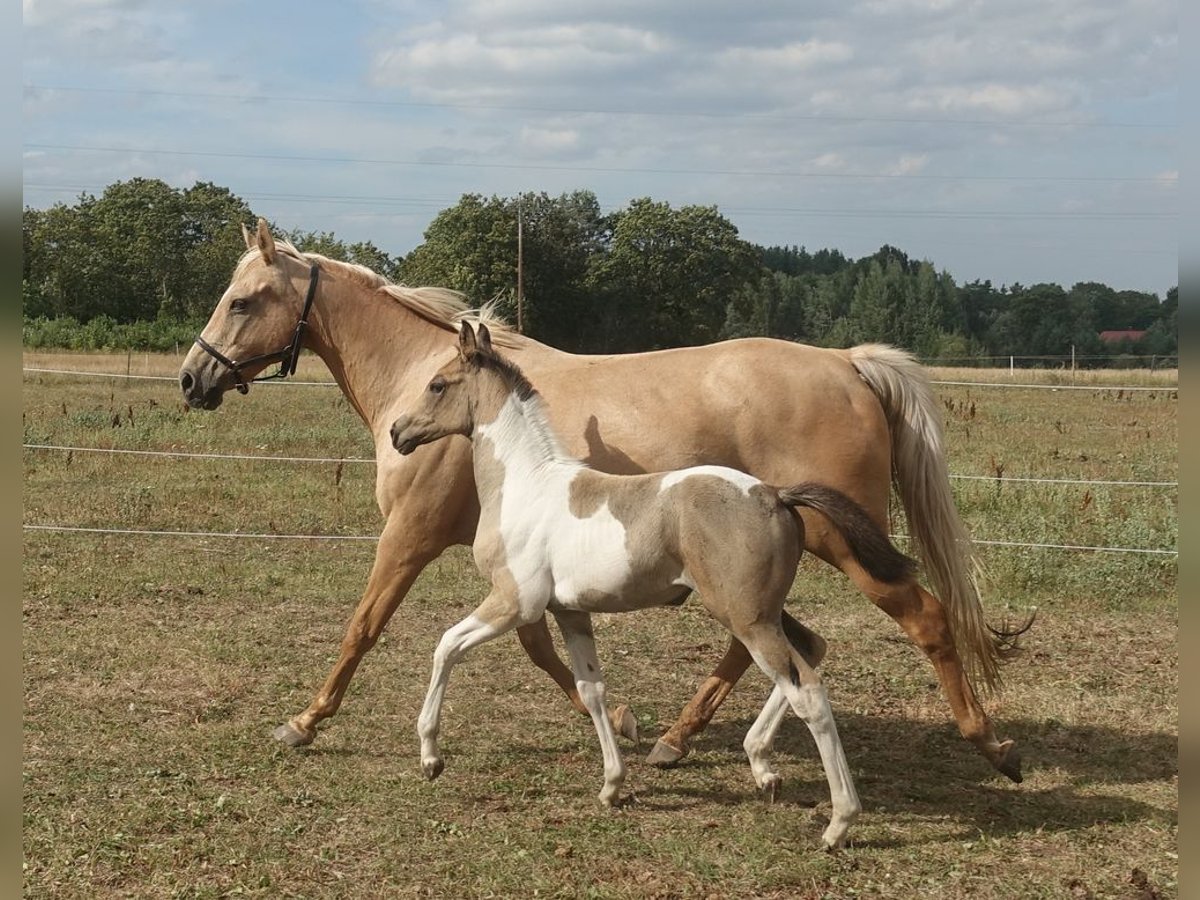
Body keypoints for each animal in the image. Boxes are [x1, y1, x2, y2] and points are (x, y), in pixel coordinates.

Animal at [182, 222, 1027, 787]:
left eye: (243, 300)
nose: (193, 378)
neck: (435, 384)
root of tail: (848, 363)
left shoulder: (410, 538)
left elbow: (364, 627)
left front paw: (305, 721)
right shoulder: (522, 572)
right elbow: (541, 648)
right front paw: (617, 722)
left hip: (849, 544)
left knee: (922, 621)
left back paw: (991, 744)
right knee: (765, 646)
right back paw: (679, 738)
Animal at [388, 324, 912, 854]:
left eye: (437, 384)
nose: (397, 432)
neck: (527, 487)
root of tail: (774, 494)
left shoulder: (516, 602)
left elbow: (446, 646)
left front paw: (430, 758)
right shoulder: (569, 612)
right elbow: (592, 689)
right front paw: (612, 785)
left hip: (745, 616)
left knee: (808, 691)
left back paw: (838, 822)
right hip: (763, 611)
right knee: (810, 649)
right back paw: (762, 765)